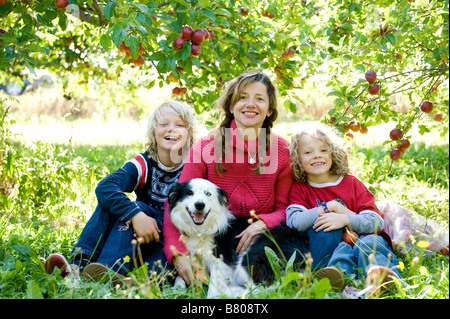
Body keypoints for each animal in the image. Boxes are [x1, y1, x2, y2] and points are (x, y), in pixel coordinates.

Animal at [169, 179, 310, 298]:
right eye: (189, 193)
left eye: (208, 194)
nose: (199, 204)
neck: (201, 230)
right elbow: (180, 276)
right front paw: (177, 291)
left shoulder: (221, 260)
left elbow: (212, 291)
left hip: (250, 258)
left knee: (262, 291)